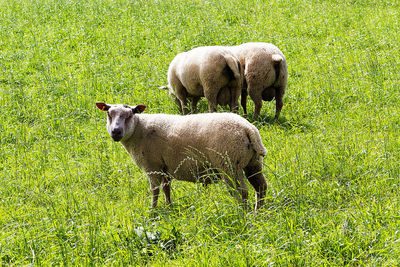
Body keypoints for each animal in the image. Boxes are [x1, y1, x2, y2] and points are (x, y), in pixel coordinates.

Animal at [95, 102, 268, 211]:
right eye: (109, 114)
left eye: (129, 115)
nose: (116, 131)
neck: (139, 129)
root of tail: (248, 128)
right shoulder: (165, 168)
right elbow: (166, 189)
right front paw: (169, 207)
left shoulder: (152, 167)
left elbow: (155, 191)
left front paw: (153, 211)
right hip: (252, 163)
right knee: (261, 187)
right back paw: (258, 213)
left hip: (229, 164)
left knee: (242, 192)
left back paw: (242, 213)